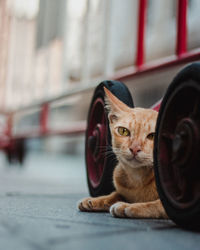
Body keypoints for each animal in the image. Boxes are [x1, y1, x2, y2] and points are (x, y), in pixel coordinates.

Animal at [78, 88, 167, 219]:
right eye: (123, 131)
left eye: (153, 136)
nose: (134, 148)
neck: (137, 179)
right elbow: (115, 194)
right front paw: (96, 200)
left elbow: (156, 204)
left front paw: (129, 206)